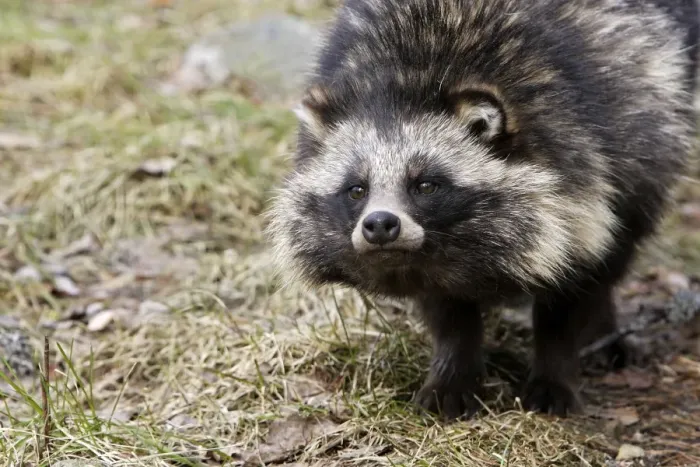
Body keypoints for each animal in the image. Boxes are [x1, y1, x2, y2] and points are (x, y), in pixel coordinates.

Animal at [266, 0, 700, 420]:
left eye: (425, 185)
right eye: (357, 189)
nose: (380, 224)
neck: (402, 83)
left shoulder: (586, 154)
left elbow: (574, 275)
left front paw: (555, 366)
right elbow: (447, 309)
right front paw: (454, 371)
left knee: (621, 241)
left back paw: (602, 325)